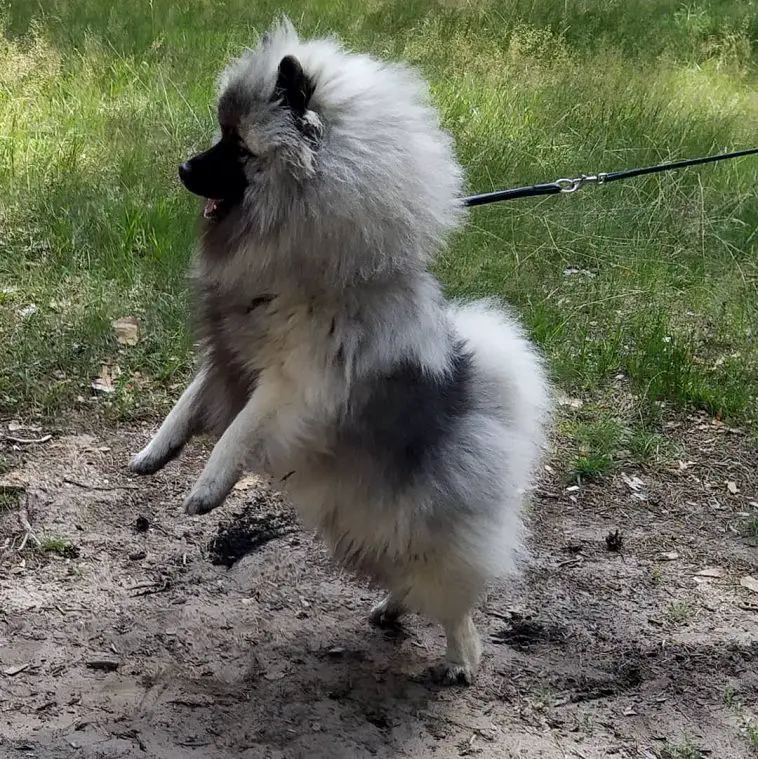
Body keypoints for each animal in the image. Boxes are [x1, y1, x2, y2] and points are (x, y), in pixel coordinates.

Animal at [127, 17, 548, 684]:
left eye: (237, 147)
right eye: (221, 133)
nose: (183, 167)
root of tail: (483, 394)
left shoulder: (292, 384)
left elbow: (237, 432)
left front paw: (207, 487)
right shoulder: (230, 357)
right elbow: (187, 405)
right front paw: (154, 454)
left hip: (427, 534)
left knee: (453, 601)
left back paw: (461, 658)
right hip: (363, 528)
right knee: (406, 579)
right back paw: (389, 610)